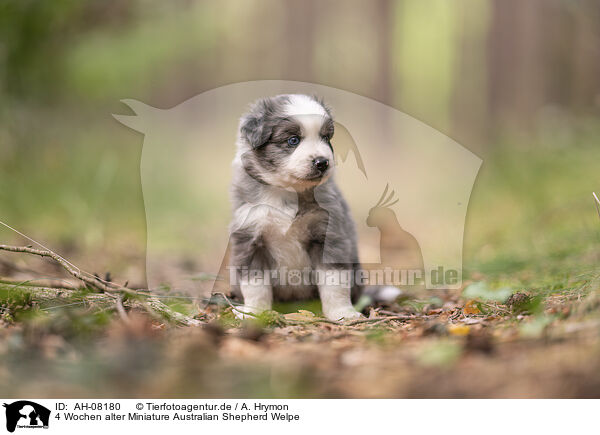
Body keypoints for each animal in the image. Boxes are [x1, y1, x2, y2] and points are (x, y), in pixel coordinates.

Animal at [230, 94, 398, 320]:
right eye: (293, 140)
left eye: (325, 138)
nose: (322, 162)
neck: (288, 193)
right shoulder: (250, 238)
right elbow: (255, 284)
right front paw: (254, 313)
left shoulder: (329, 233)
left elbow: (334, 281)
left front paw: (342, 313)